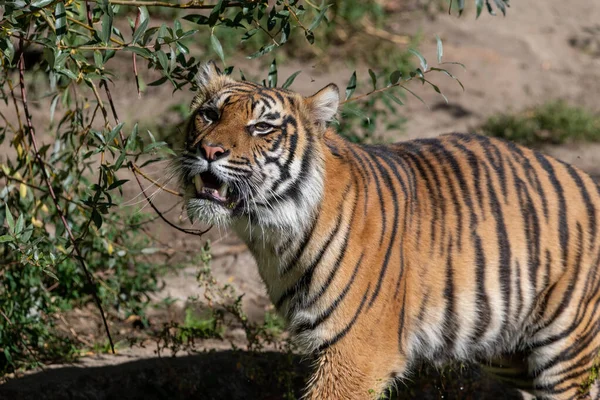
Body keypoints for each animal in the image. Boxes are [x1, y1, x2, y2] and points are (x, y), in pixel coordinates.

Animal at [175, 62, 600, 400]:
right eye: (209, 114)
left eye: (262, 127)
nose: (209, 151)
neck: (271, 235)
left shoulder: (357, 354)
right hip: (512, 353)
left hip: (565, 352)